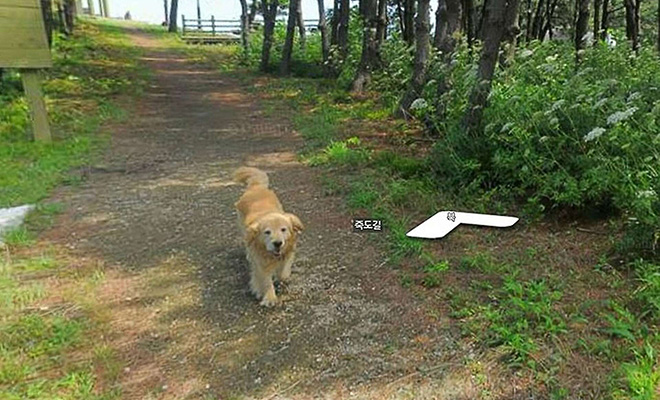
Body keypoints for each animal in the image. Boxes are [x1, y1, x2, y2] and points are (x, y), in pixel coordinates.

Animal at [232, 166, 304, 306]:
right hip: (242, 228)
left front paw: (281, 277)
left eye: (283, 229)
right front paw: (269, 297)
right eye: (267, 232)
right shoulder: (260, 263)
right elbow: (265, 280)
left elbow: (283, 273)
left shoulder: (288, 252)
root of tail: (256, 187)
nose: (278, 243)